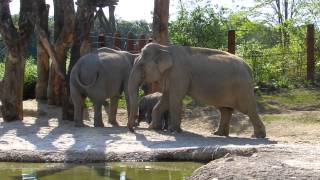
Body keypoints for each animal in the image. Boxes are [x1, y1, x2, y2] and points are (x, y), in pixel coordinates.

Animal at [126, 43, 266, 138]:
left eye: (141, 66)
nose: (133, 130)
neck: (165, 48)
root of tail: (248, 67)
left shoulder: (179, 74)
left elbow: (175, 99)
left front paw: (173, 131)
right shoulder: (171, 77)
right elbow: (165, 99)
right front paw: (154, 128)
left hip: (242, 89)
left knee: (248, 109)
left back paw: (258, 136)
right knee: (225, 110)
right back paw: (218, 134)